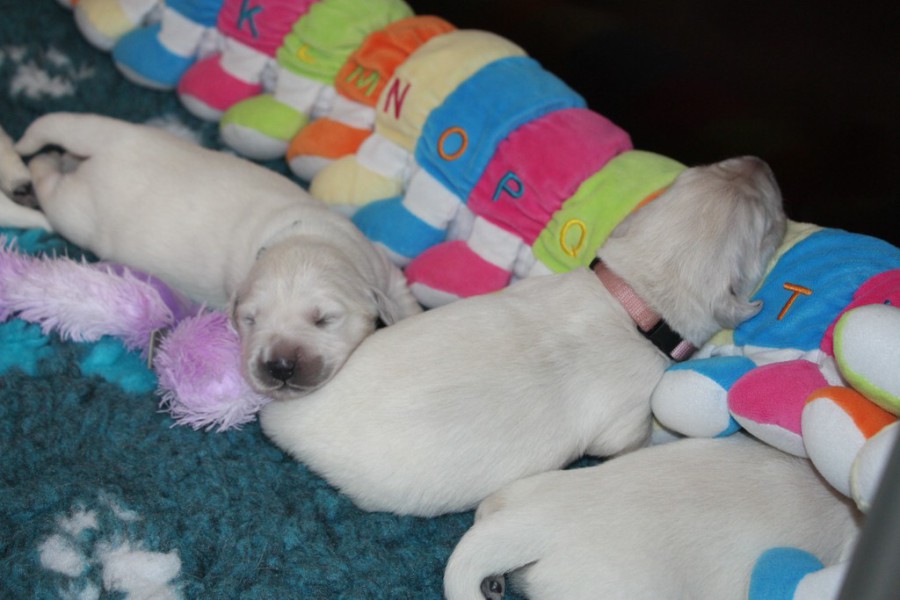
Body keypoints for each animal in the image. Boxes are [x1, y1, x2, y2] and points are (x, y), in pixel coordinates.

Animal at [14, 113, 422, 399]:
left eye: (325, 319)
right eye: (250, 320)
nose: (280, 365)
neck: (305, 232)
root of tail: (114, 140)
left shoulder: (382, 267)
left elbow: (406, 303)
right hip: (75, 211)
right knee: (47, 180)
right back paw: (37, 169)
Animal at [259, 156, 787, 517]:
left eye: (698, 168)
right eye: (766, 224)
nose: (760, 161)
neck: (634, 295)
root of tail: (282, 415)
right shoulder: (625, 418)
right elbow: (631, 439)